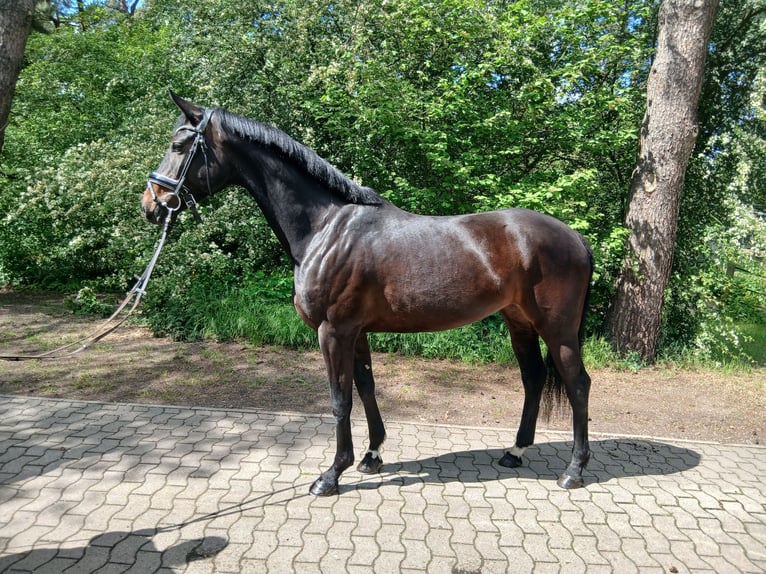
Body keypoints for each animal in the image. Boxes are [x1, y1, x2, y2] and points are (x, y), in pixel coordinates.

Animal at [142, 92, 594, 496]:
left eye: (180, 145)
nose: (151, 204)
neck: (326, 228)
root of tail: (575, 238)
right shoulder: (355, 332)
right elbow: (365, 388)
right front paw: (371, 455)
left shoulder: (333, 331)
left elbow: (339, 399)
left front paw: (330, 475)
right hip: (519, 321)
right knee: (533, 378)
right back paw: (515, 452)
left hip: (557, 329)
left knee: (578, 383)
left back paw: (573, 471)